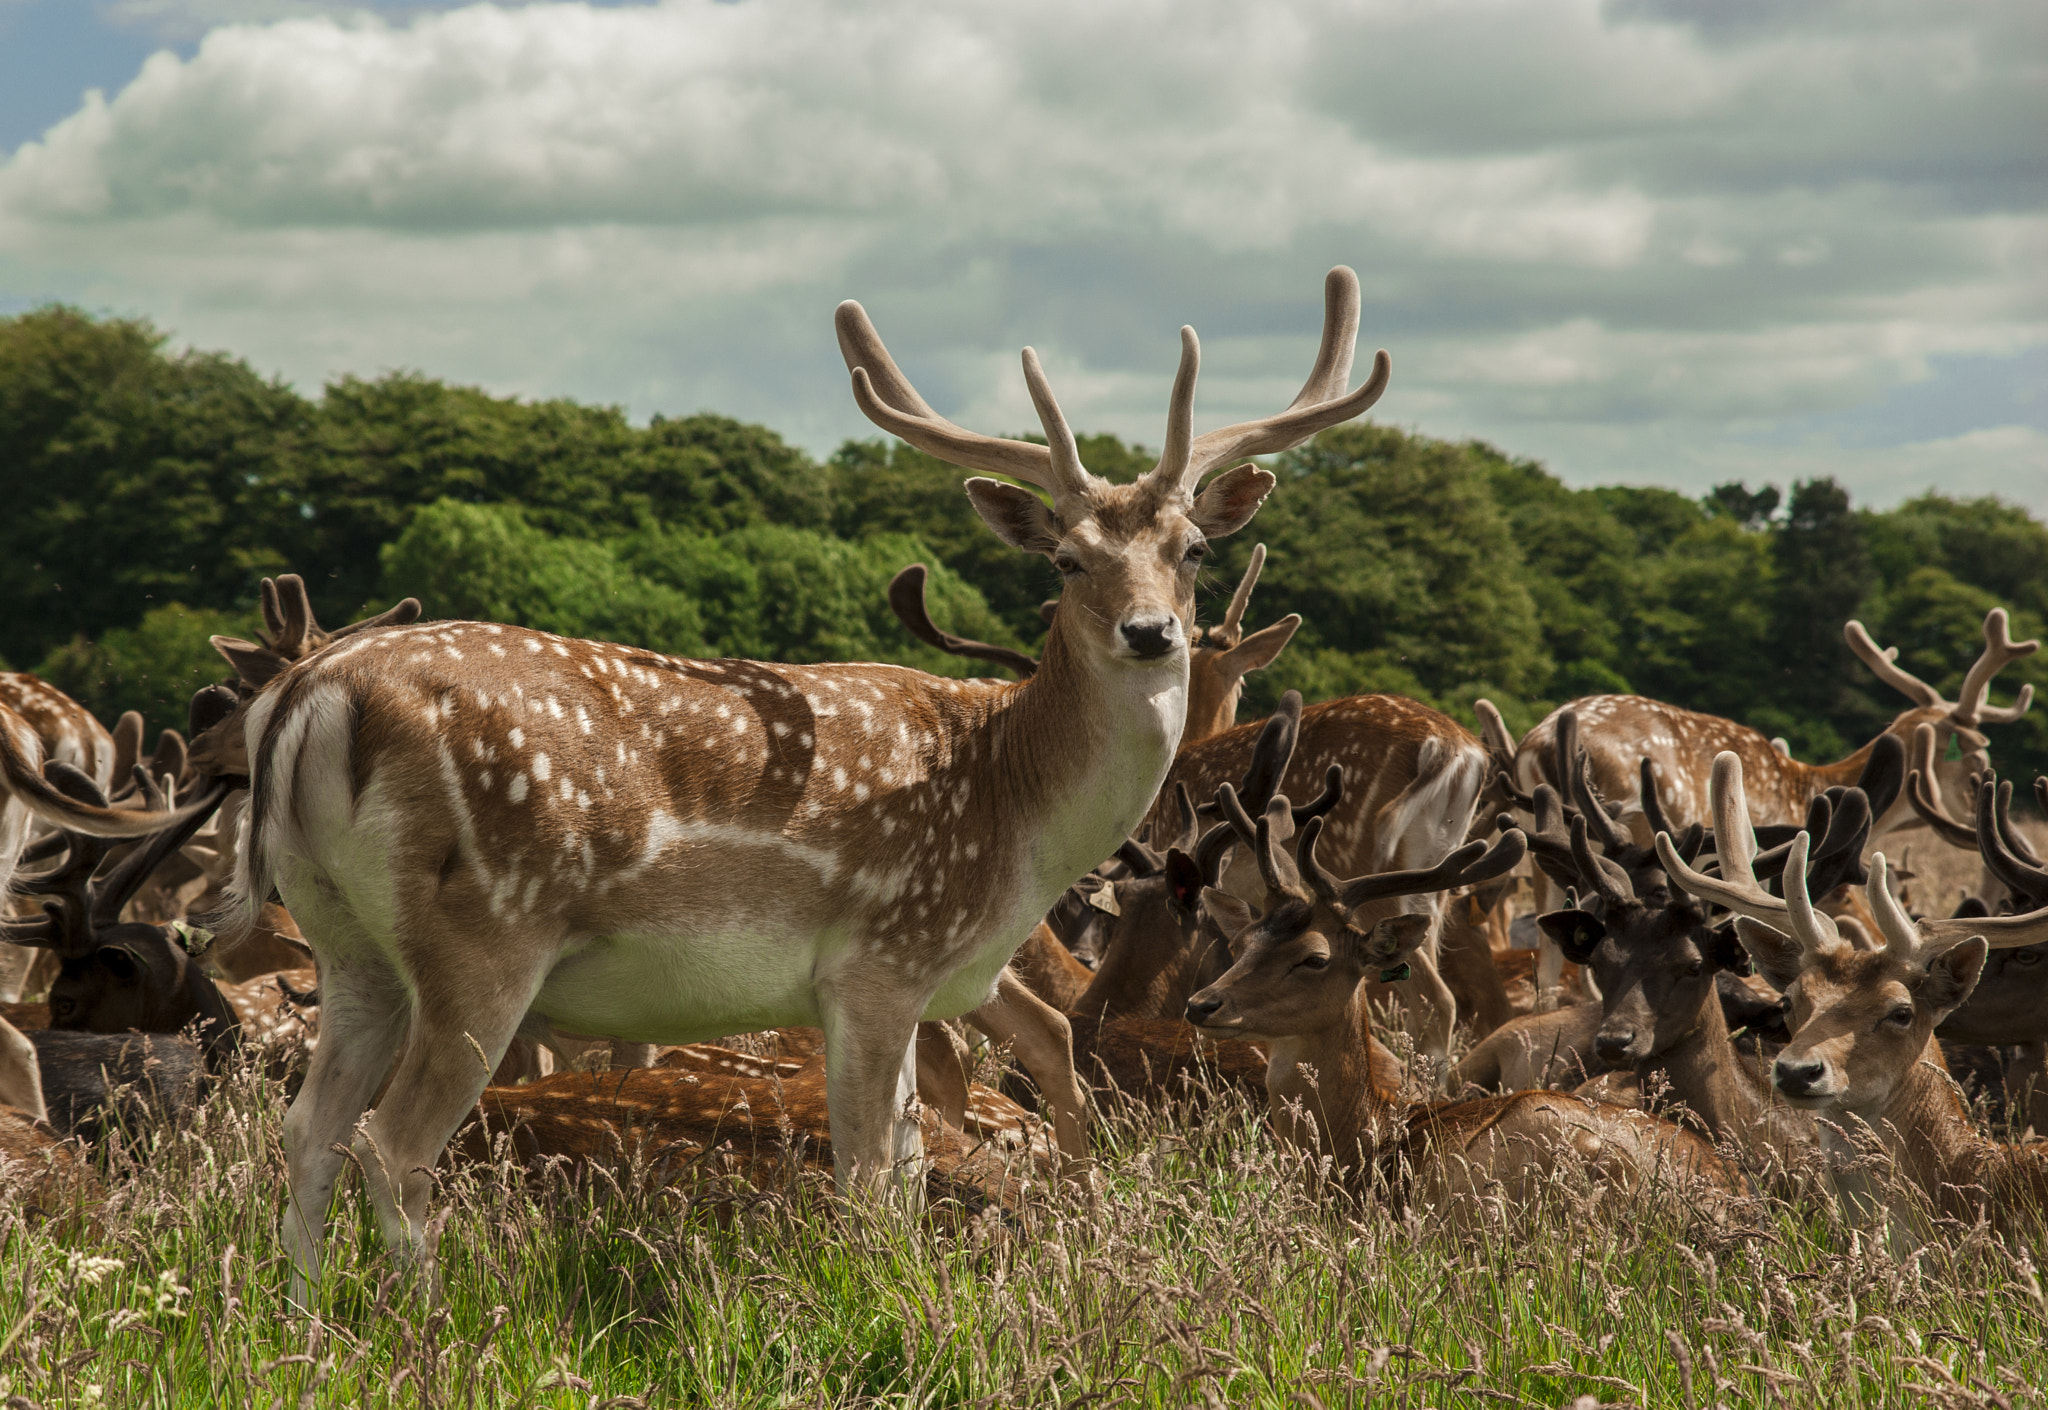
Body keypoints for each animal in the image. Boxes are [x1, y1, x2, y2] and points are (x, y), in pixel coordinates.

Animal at [232, 266, 1400, 1303]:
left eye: (1193, 549)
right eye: (1066, 560)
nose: (1151, 632)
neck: (1010, 815)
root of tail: (312, 695)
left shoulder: (913, 986)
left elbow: (913, 1167)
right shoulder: (880, 958)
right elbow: (872, 1177)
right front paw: (885, 1305)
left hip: (347, 941)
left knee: (308, 1131)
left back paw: (306, 1324)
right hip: (483, 935)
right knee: (392, 1144)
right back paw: (422, 1325)